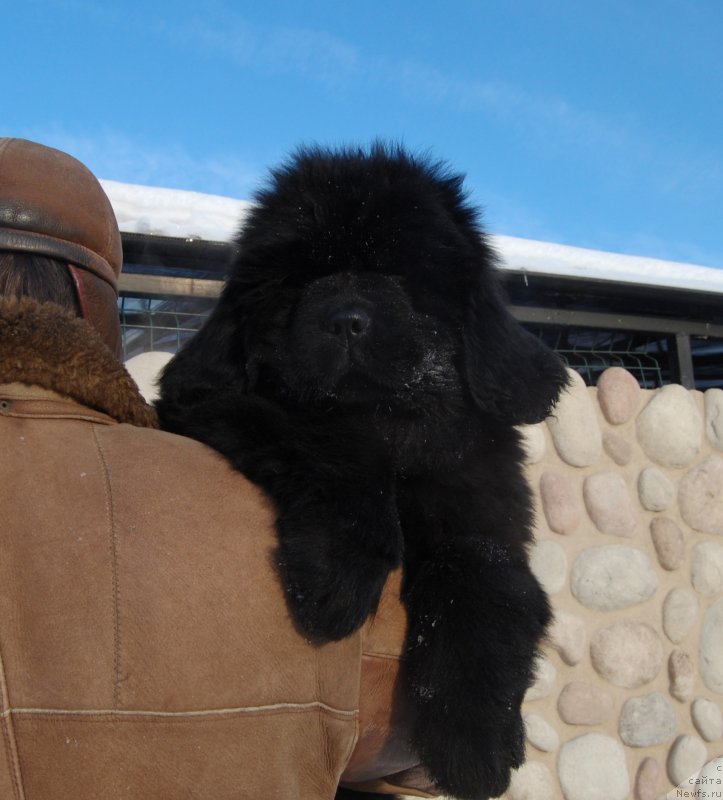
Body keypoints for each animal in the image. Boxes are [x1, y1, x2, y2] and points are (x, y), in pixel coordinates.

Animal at [158, 145, 572, 800]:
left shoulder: (482, 512)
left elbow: (486, 581)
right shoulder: (218, 408)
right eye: (298, 283)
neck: (391, 427)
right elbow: (333, 448)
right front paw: (335, 581)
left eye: (400, 276)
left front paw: (474, 744)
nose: (347, 319)